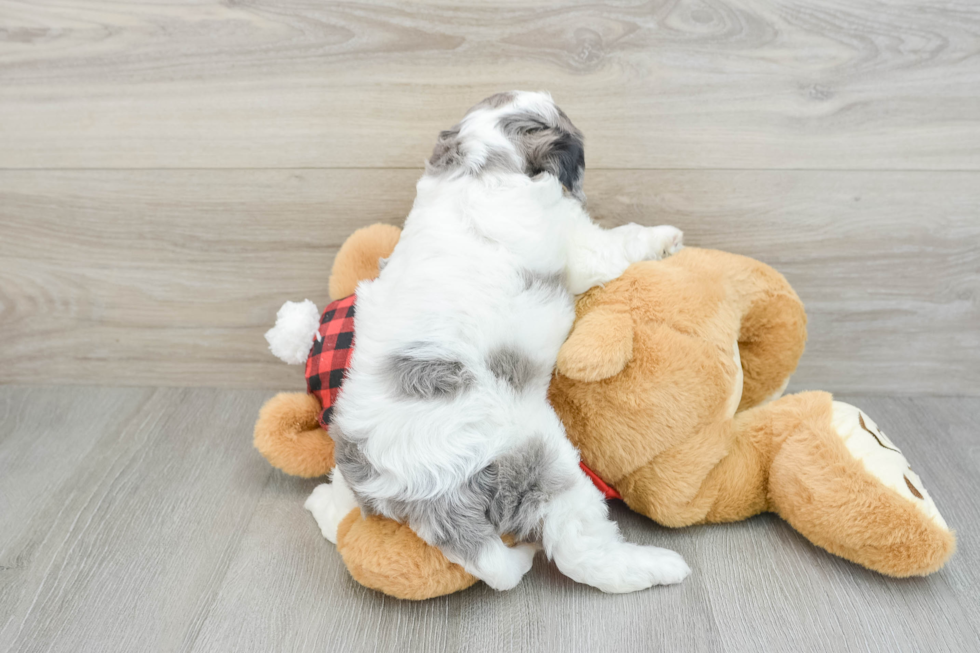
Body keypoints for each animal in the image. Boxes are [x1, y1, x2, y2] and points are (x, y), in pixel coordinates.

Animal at [306, 91, 688, 592]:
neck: (478, 161)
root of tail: (420, 496)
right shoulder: (580, 244)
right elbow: (617, 243)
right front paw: (666, 237)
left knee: (345, 509)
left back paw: (324, 504)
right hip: (539, 464)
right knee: (579, 549)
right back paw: (657, 565)